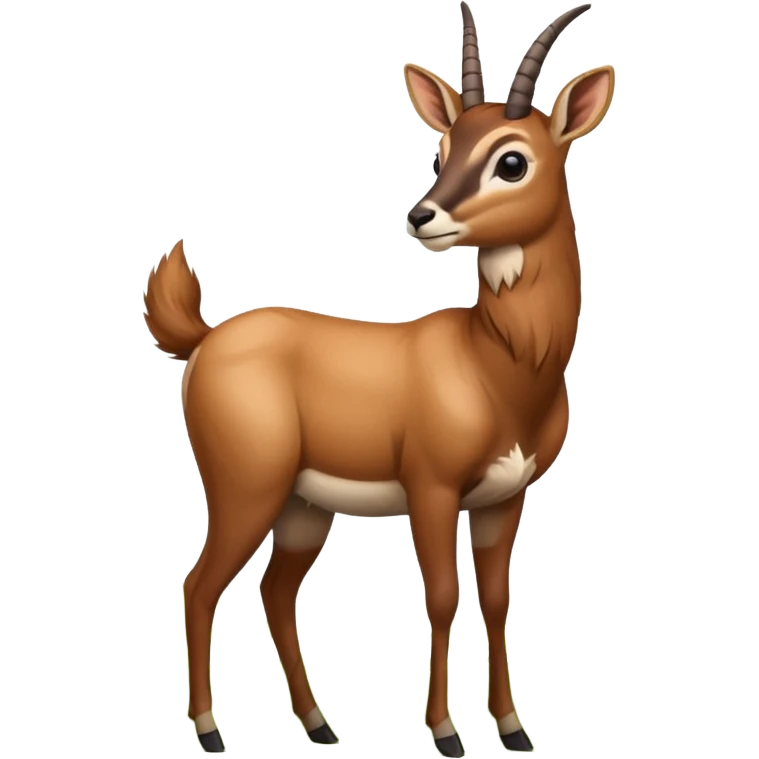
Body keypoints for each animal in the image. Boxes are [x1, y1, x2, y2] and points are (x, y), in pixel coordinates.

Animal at [143, 2, 614, 755]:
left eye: (511, 159)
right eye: (443, 150)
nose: (422, 216)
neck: (498, 366)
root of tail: (207, 335)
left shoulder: (503, 498)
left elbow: (498, 599)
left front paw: (512, 730)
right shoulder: (432, 490)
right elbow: (443, 598)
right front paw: (446, 734)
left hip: (303, 507)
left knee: (275, 591)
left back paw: (320, 727)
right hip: (246, 490)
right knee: (198, 584)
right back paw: (212, 733)